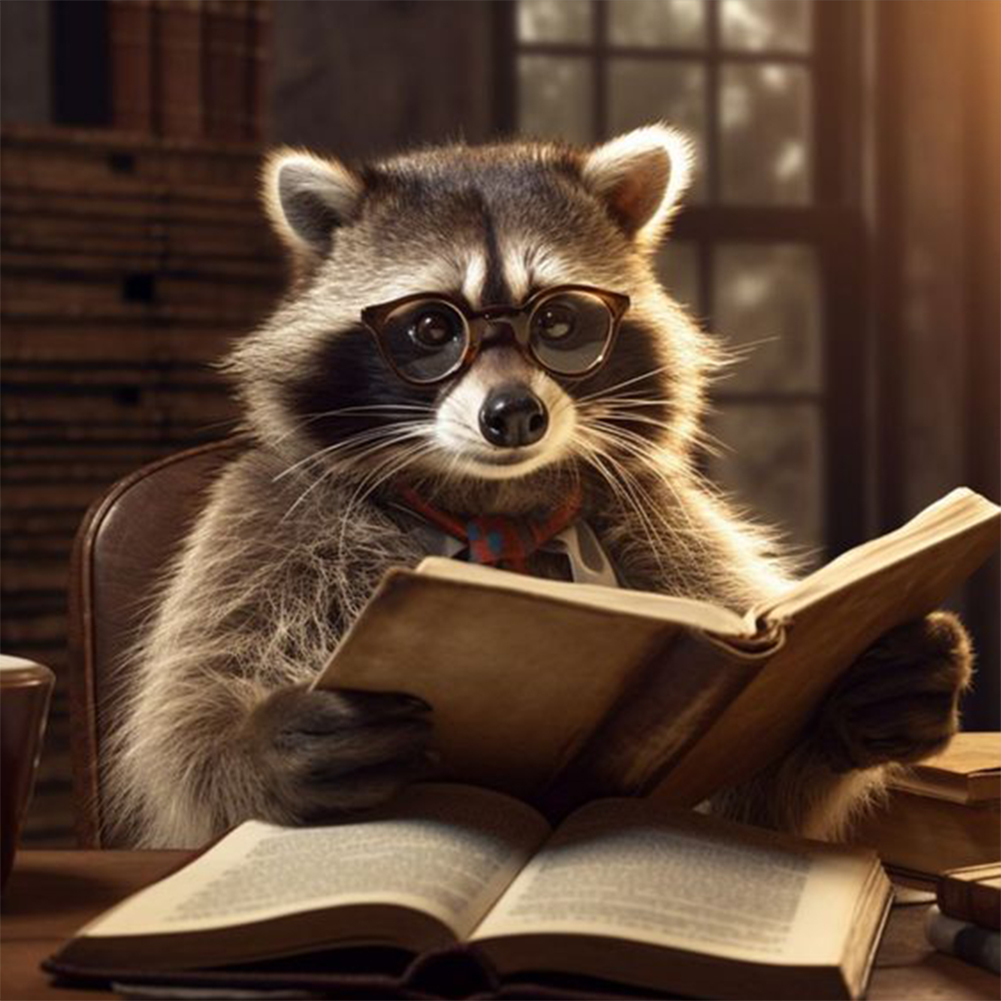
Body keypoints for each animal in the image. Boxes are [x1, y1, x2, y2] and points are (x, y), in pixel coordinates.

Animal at [106, 125, 972, 849]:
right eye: (431, 329)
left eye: (560, 323)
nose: (514, 414)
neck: (493, 512)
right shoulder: (269, 514)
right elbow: (184, 738)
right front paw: (262, 740)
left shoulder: (659, 514)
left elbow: (744, 799)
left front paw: (866, 693)